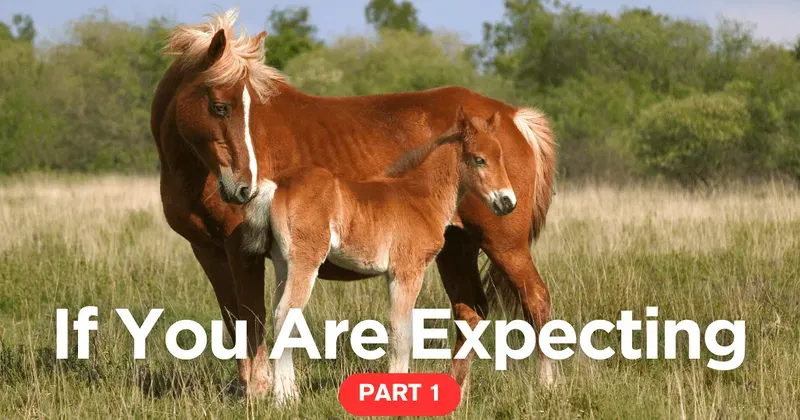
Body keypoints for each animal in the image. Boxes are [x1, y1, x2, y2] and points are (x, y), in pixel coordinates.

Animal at [243, 106, 515, 403]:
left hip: (284, 263)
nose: (507, 202)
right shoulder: (406, 272)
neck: (419, 197)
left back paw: (288, 392)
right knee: (285, 313)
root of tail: (278, 185)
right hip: (306, 261)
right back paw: (285, 400)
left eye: (501, 156)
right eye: (479, 159)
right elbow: (401, 331)